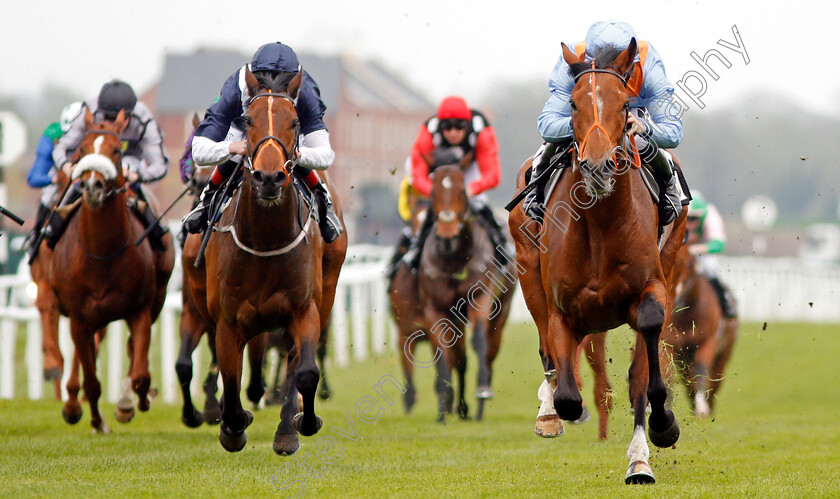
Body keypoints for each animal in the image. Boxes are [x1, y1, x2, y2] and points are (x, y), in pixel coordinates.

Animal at [48, 110, 174, 434]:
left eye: (117, 150)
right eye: (81, 150)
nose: (92, 186)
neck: (102, 256)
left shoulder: (140, 310)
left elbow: (141, 372)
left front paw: (133, 402)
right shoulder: (78, 317)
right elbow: (92, 381)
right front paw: (96, 420)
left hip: (156, 299)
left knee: (131, 351)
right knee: (83, 356)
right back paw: (72, 405)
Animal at [185, 68, 348, 456]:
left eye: (295, 121)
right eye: (248, 120)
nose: (270, 177)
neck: (265, 239)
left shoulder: (304, 311)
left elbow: (304, 371)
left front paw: (300, 424)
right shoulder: (227, 321)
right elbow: (230, 376)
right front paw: (233, 424)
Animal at [398, 155, 516, 422]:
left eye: (462, 190)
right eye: (433, 192)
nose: (447, 233)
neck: (454, 259)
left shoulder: (481, 297)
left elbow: (479, 341)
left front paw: (481, 391)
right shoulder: (434, 309)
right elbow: (442, 351)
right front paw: (443, 403)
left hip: (501, 309)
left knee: (490, 347)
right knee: (458, 356)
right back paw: (458, 406)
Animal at [508, 39, 684, 484]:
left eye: (624, 104)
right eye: (573, 103)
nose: (599, 165)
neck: (601, 223)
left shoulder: (653, 287)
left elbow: (645, 367)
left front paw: (662, 426)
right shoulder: (561, 308)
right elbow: (568, 392)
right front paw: (553, 409)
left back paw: (640, 459)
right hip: (527, 268)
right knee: (549, 355)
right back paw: (548, 411)